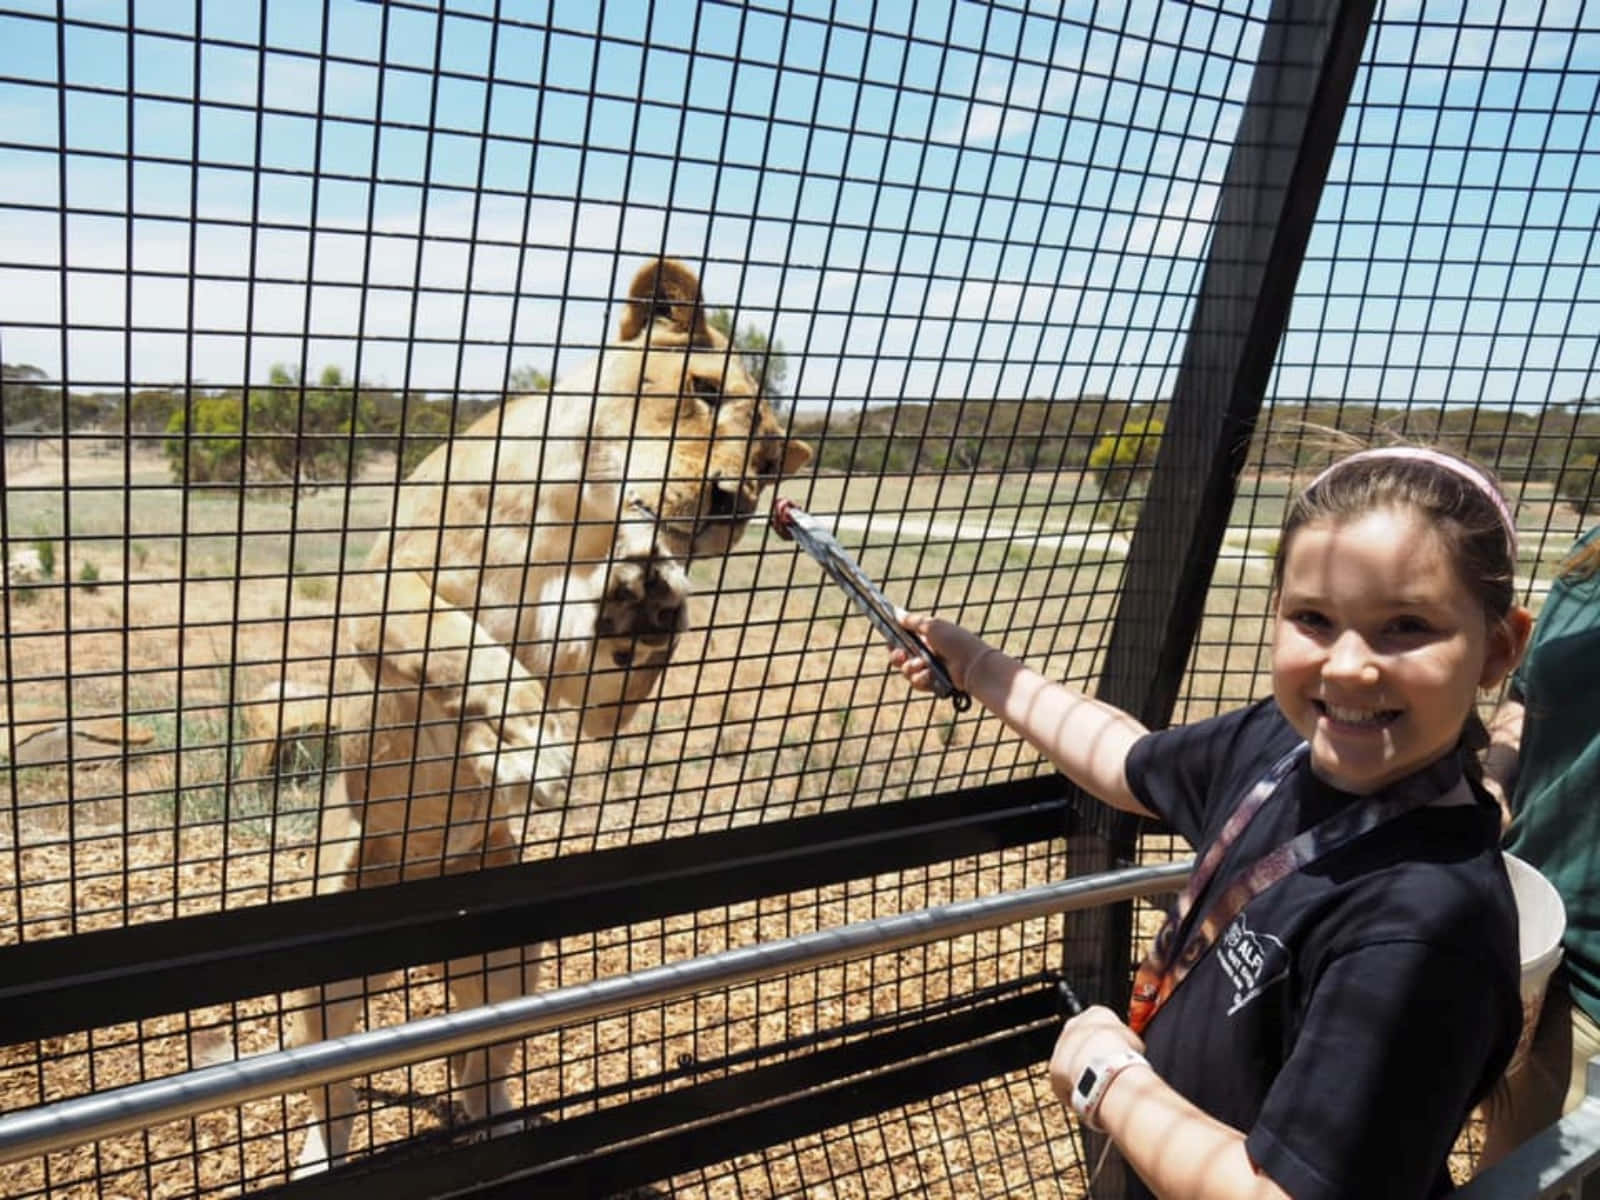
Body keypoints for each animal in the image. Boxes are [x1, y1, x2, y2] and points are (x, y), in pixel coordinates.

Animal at [288, 256, 812, 1177]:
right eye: (704, 390)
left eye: (770, 459)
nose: (730, 503)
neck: (575, 516)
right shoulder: (384, 595)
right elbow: (468, 655)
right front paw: (533, 753)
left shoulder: (562, 647)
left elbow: (588, 669)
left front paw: (651, 609)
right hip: (330, 962)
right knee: (335, 1091)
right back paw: (322, 1157)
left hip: (507, 960)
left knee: (481, 1065)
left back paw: (509, 1131)